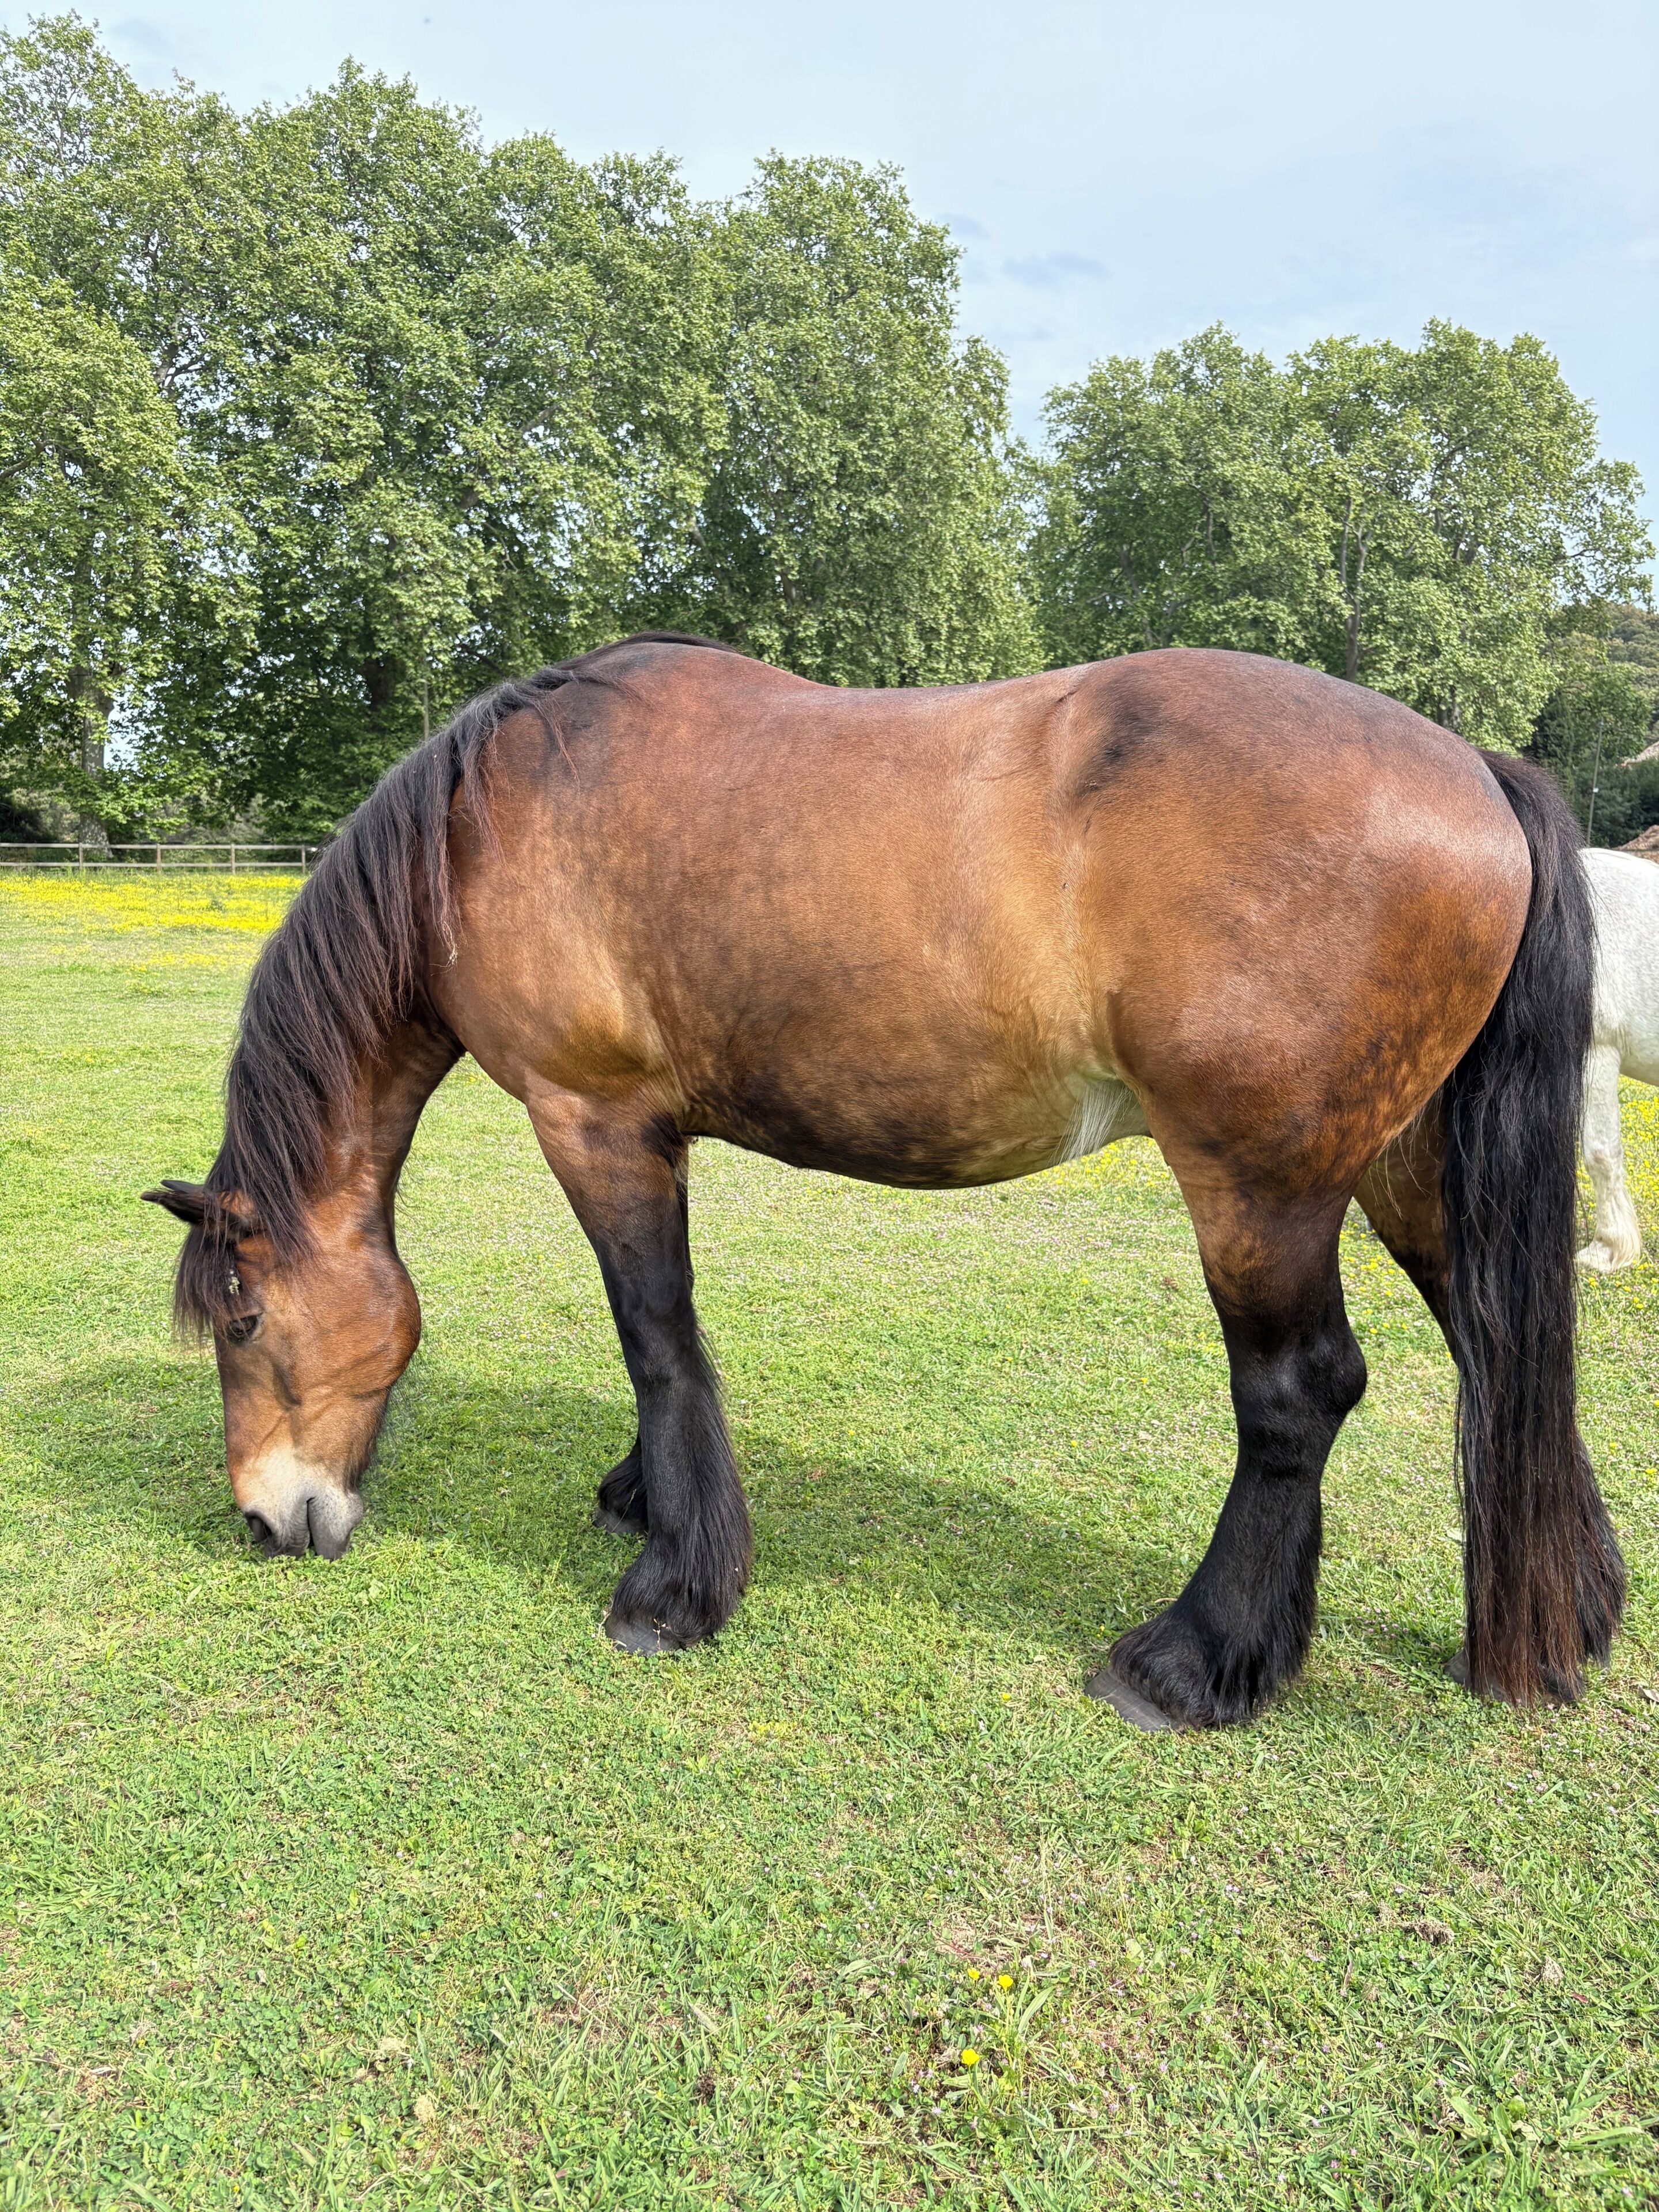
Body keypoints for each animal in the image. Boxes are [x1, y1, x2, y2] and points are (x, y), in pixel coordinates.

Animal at [142, 635, 1625, 1730]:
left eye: (243, 1321)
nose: (267, 1521)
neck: (484, 824)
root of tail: (1473, 769)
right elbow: (670, 1339)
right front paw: (643, 1494)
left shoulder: (594, 1121)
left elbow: (654, 1335)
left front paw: (674, 1585)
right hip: (1401, 1168)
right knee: (1497, 1344)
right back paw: (1571, 1604)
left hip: (1258, 1190)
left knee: (1298, 1395)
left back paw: (1192, 1660)